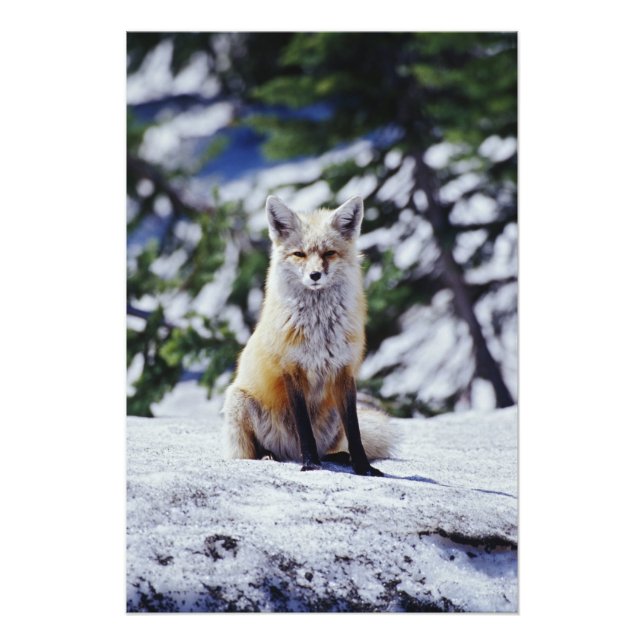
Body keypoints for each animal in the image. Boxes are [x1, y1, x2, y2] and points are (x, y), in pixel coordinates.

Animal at [223, 194, 392, 476]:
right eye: (299, 254)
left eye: (329, 253)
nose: (315, 275)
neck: (319, 330)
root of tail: (289, 453)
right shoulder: (292, 370)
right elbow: (304, 428)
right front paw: (311, 464)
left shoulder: (344, 371)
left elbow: (355, 431)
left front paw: (363, 467)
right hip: (239, 401)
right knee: (252, 452)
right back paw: (270, 455)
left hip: (332, 416)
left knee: (333, 446)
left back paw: (339, 457)